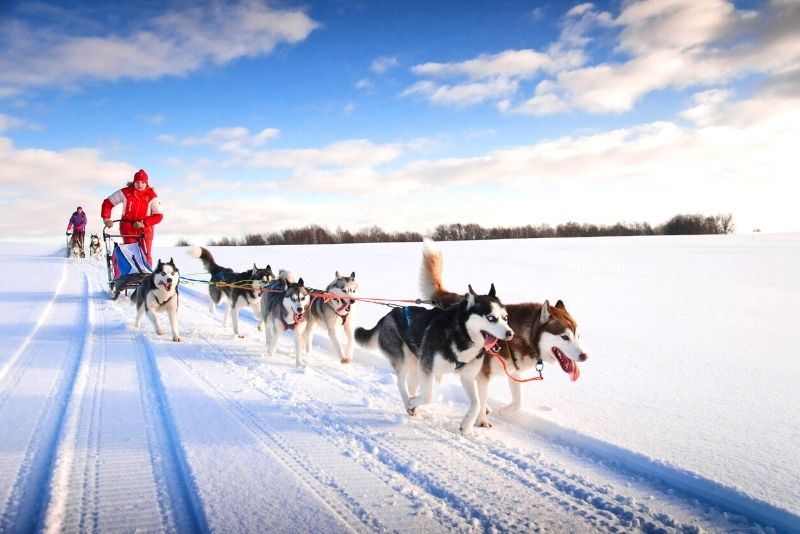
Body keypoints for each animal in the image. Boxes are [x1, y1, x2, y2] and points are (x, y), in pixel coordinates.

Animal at [354, 284, 512, 436]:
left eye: (505, 318)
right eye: (491, 318)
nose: (510, 333)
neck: (462, 336)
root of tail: (388, 315)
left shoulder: (466, 376)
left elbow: (477, 403)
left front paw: (466, 426)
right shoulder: (427, 368)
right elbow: (429, 396)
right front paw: (413, 402)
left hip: (415, 364)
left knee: (412, 385)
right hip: (402, 360)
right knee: (401, 383)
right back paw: (408, 402)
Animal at [418, 239, 588, 428]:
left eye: (578, 336)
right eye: (564, 337)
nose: (584, 356)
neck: (523, 337)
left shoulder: (514, 373)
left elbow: (518, 401)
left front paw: (504, 411)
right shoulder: (483, 375)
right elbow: (482, 398)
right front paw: (482, 420)